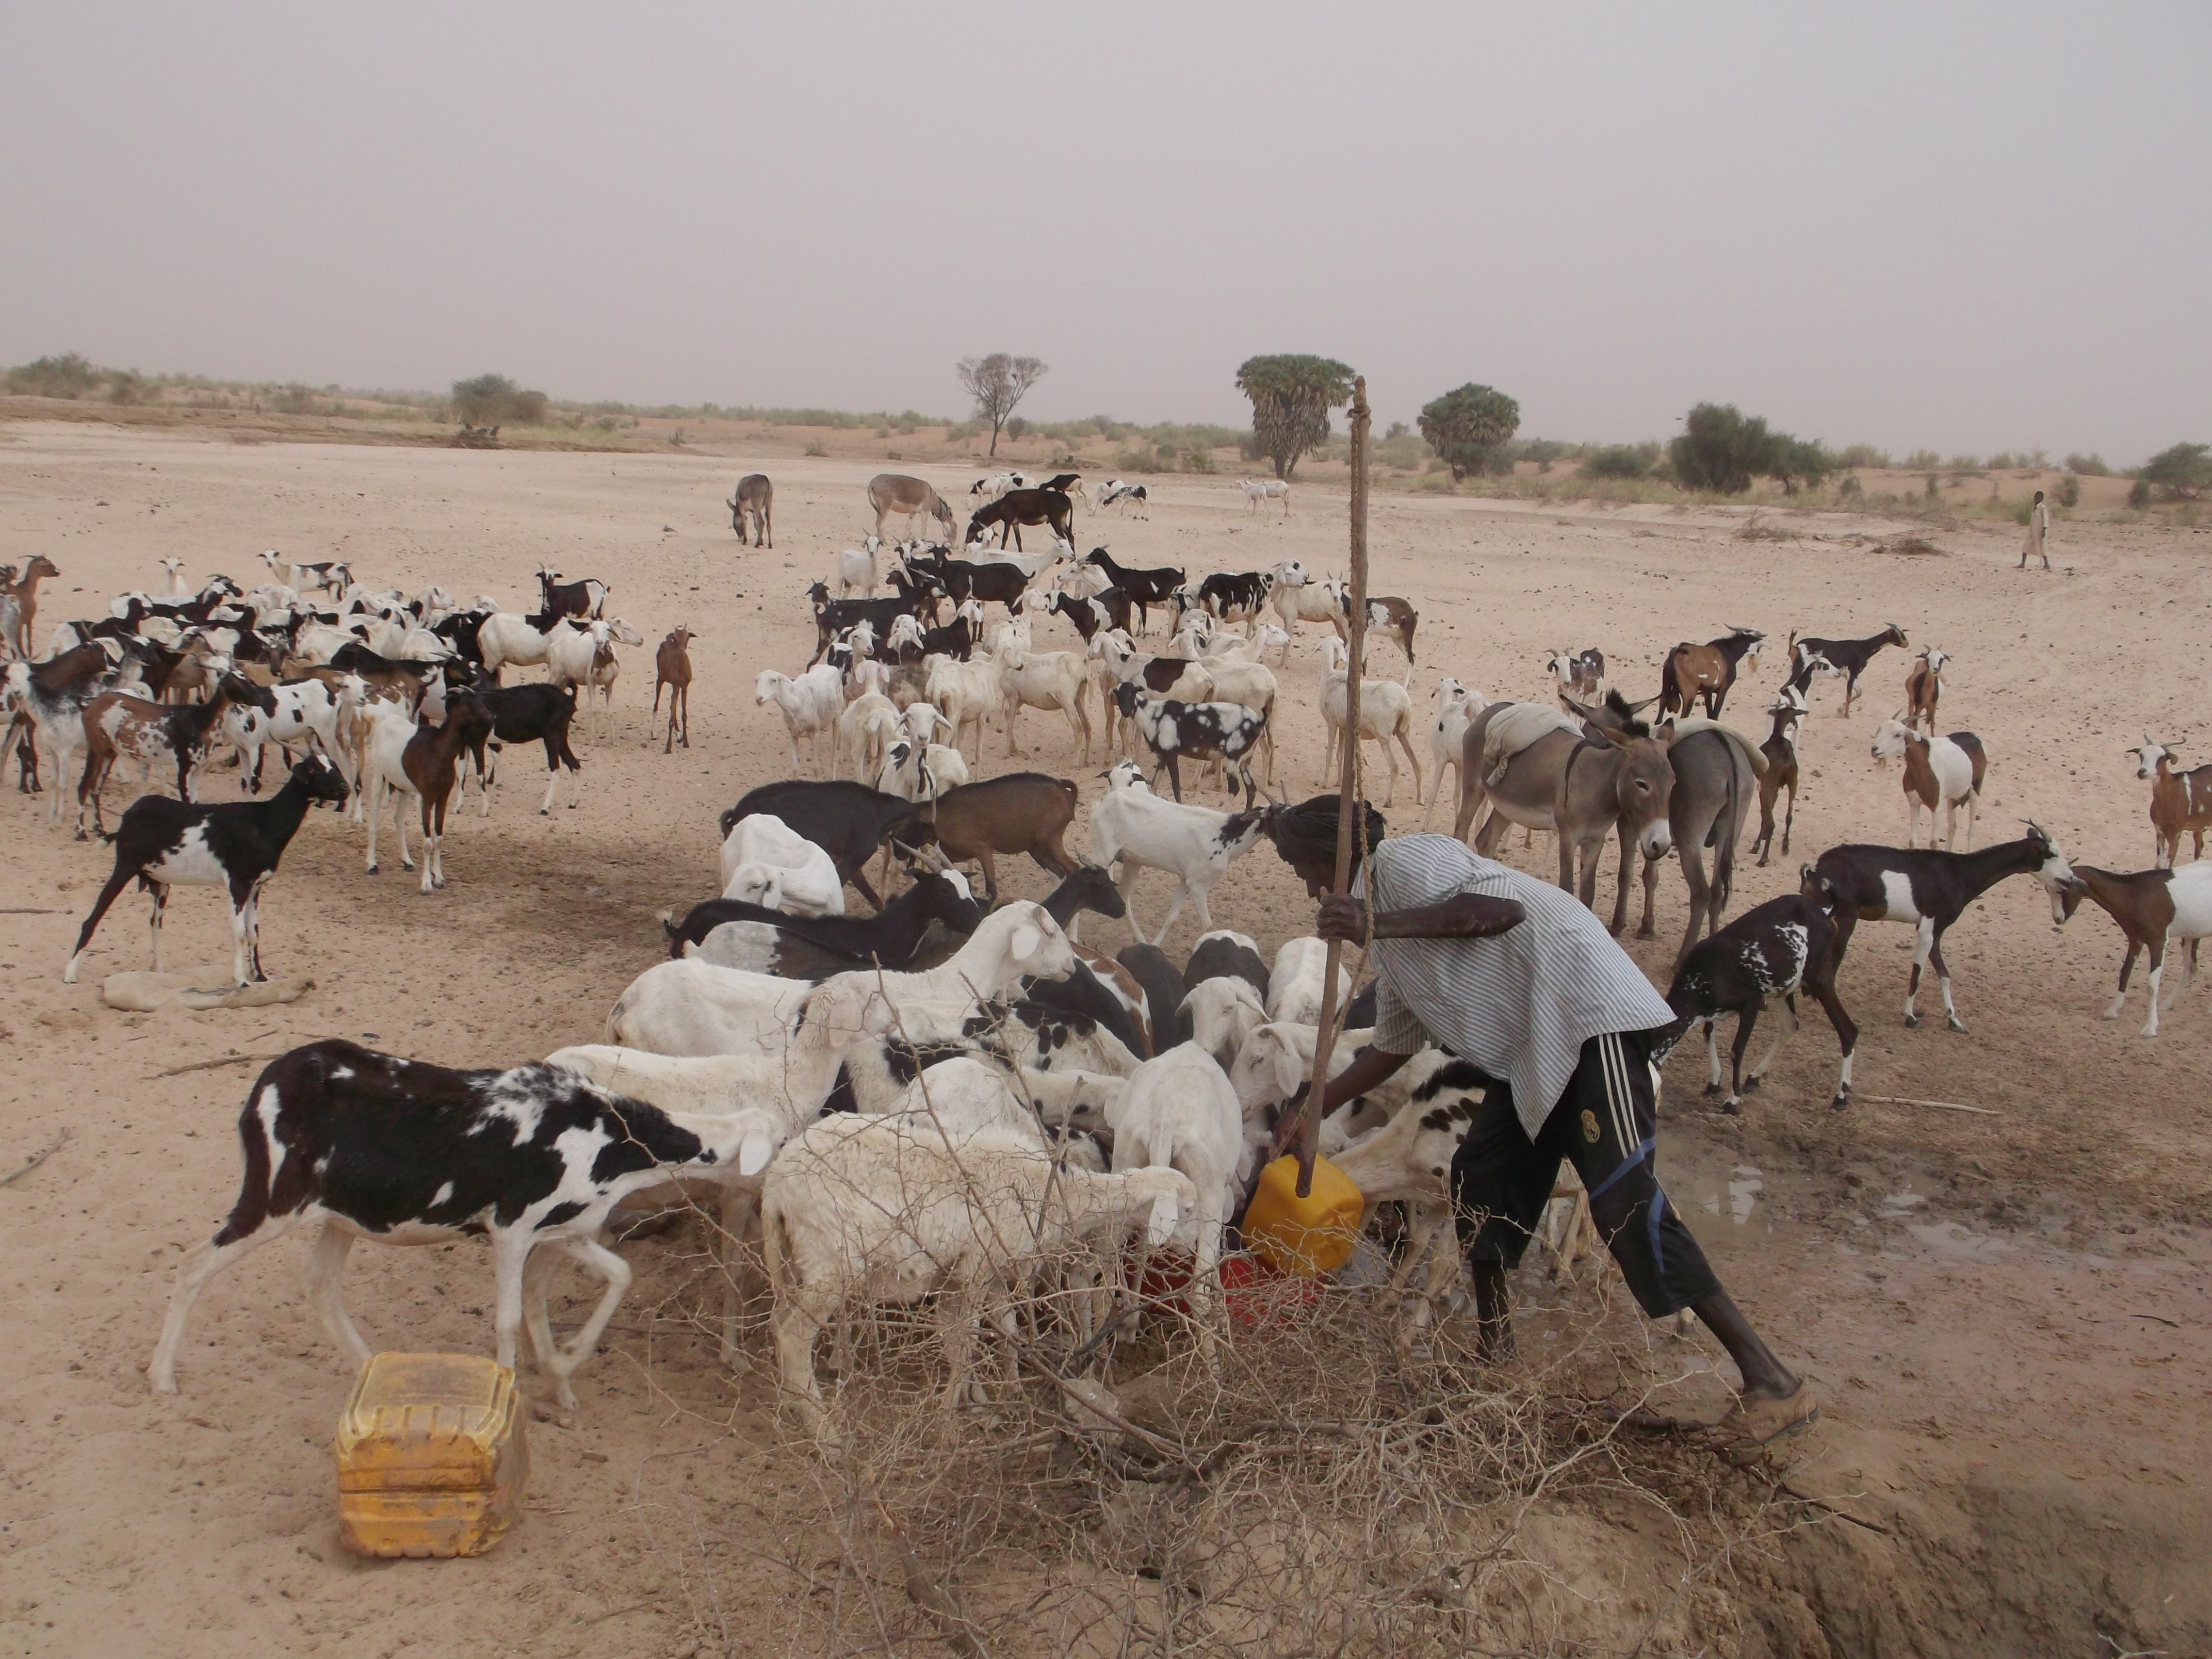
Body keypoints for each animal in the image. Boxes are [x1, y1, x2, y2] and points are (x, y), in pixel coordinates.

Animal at [64, 752, 351, 986]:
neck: (264, 822)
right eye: (313, 769)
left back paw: (159, 972)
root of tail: (126, 819)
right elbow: (239, 933)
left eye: (334, 765)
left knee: (155, 923)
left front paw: (260, 976)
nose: (346, 789)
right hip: (125, 865)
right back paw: (70, 975)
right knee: (92, 919)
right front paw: (241, 981)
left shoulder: (256, 886)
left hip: (160, 880)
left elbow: (254, 932)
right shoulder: (238, 882)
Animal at [142, 1044, 774, 1407]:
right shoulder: (512, 1229)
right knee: (193, 1264)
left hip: (341, 1213)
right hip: (276, 1196)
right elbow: (507, 1321)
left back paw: (369, 1372)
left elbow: (620, 1277)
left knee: (320, 1286)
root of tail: (265, 1085)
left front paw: (563, 1367)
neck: (613, 1141)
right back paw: (162, 1377)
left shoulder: (567, 1229)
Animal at [650, 624, 694, 752]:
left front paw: (686, 742)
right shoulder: (675, 684)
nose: (681, 650)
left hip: (676, 687)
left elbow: (684, 715)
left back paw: (679, 736)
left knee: (672, 706)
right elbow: (670, 718)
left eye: (687, 636)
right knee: (656, 705)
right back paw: (654, 734)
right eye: (675, 638)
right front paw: (668, 748)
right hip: (661, 679)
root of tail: (665, 642)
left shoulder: (684, 687)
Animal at [1796, 832, 2070, 1039]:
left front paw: (1955, 1021)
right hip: (1845, 920)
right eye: (2052, 854)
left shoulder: (1938, 932)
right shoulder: (1927, 929)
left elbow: (1945, 975)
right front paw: (1910, 1018)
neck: (1959, 873)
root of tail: (1815, 868)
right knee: (1832, 965)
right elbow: (1917, 974)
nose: (2070, 879)